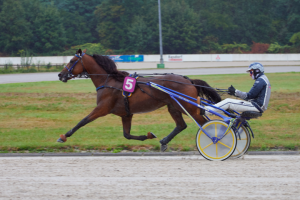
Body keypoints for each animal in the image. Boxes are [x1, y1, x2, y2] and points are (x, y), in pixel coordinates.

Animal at [57, 49, 221, 151]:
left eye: (72, 60)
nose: (60, 75)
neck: (109, 81)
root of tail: (189, 80)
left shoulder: (102, 108)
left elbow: (82, 121)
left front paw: (64, 136)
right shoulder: (126, 114)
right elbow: (127, 135)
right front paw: (149, 135)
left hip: (188, 107)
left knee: (205, 124)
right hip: (174, 106)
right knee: (181, 125)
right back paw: (163, 142)